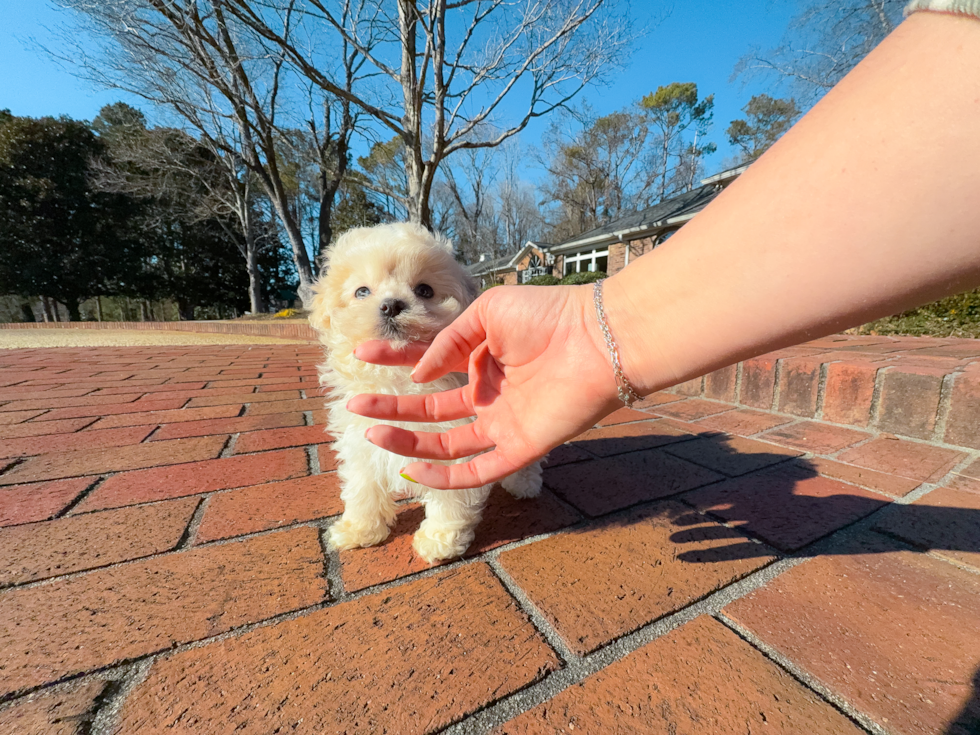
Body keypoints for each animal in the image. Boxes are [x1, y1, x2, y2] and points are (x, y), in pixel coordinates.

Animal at [310, 223, 544, 564]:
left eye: (424, 290)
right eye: (362, 291)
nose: (391, 304)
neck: (399, 377)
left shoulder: (451, 441)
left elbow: (450, 497)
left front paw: (439, 540)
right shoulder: (361, 438)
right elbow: (362, 485)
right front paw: (359, 529)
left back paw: (524, 483)